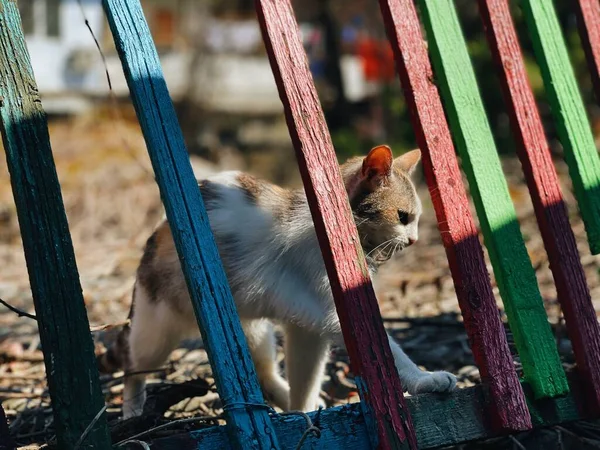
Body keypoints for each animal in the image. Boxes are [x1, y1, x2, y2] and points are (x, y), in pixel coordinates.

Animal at [99, 144, 454, 418]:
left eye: (415, 219)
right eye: (403, 217)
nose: (414, 240)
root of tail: (155, 233)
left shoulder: (307, 328)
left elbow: (305, 376)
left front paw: (303, 414)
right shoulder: (333, 312)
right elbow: (392, 353)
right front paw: (425, 379)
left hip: (252, 329)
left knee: (265, 371)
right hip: (156, 331)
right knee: (133, 367)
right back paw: (132, 411)